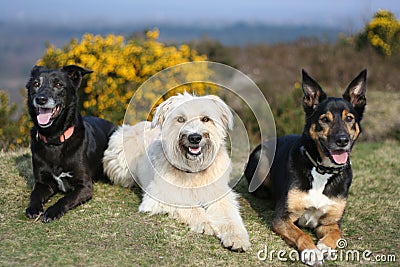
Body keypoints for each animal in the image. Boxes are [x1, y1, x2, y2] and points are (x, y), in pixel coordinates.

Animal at [25, 65, 115, 224]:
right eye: (36, 84)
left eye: (58, 84)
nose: (40, 99)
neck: (54, 139)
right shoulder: (43, 182)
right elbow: (34, 194)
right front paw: (33, 208)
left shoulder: (85, 186)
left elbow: (65, 199)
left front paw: (52, 211)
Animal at [104, 93, 250, 252]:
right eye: (180, 119)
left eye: (205, 119)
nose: (194, 138)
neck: (193, 170)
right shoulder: (159, 196)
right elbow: (187, 205)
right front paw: (206, 222)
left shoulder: (219, 194)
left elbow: (229, 215)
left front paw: (237, 237)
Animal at [244, 69, 366, 266]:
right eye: (324, 120)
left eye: (349, 118)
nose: (342, 141)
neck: (322, 170)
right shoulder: (282, 217)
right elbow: (301, 234)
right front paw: (312, 251)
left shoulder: (331, 222)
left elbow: (336, 233)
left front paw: (324, 247)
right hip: (260, 159)